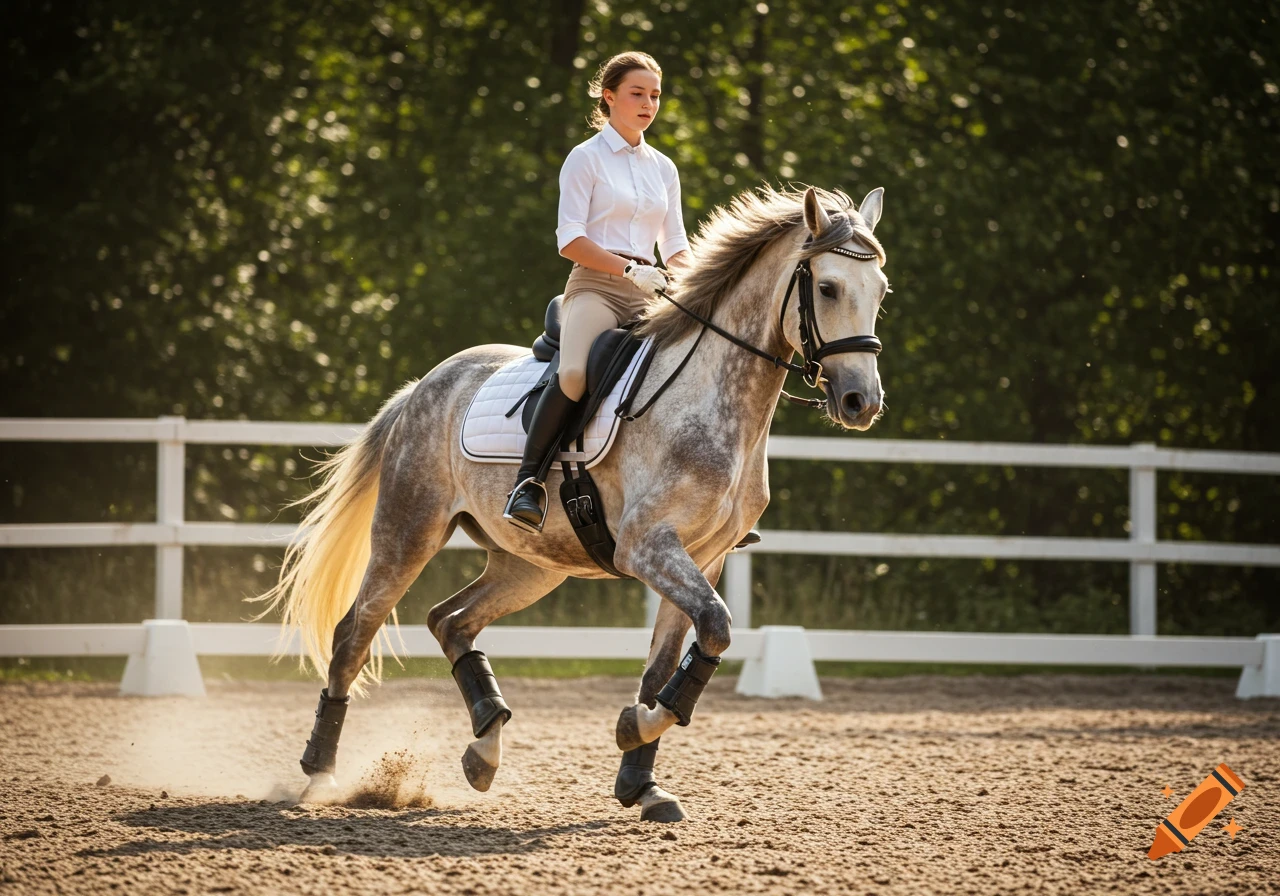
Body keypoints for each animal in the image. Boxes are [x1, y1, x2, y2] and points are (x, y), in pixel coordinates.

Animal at [257, 184, 889, 822]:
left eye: (881, 291)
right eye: (828, 288)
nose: (860, 402)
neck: (715, 400)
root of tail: (422, 387)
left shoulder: (703, 559)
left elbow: (671, 661)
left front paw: (641, 779)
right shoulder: (648, 547)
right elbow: (716, 626)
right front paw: (634, 729)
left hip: (531, 564)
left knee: (450, 621)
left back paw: (484, 747)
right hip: (408, 531)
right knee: (354, 634)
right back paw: (321, 771)